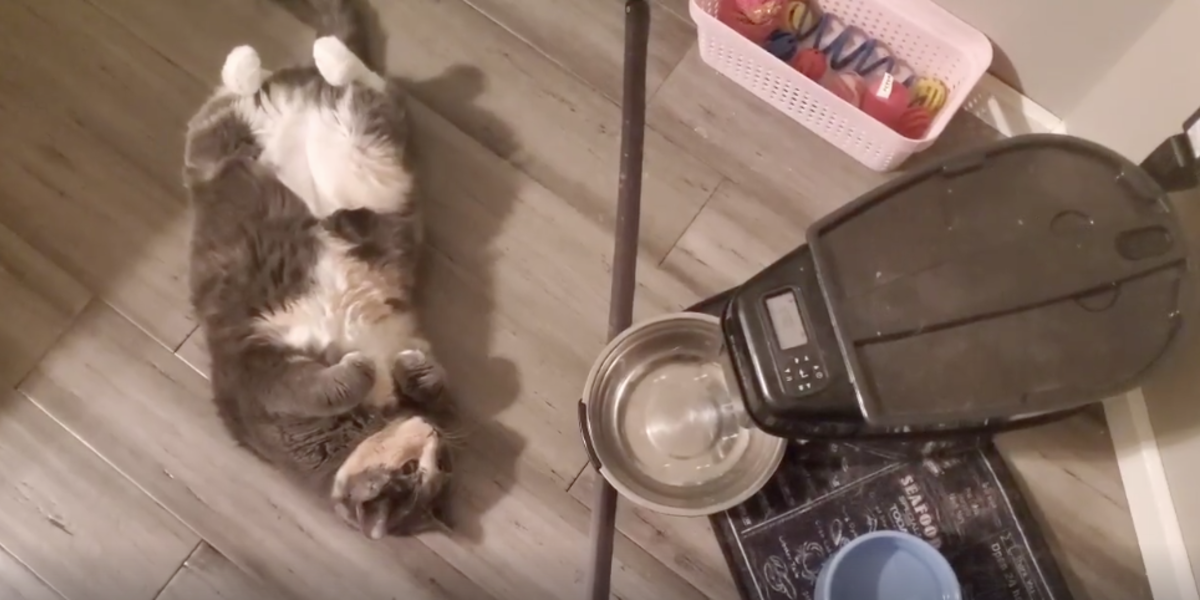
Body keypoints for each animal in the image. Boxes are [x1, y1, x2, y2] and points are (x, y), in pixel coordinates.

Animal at [182, 0, 451, 542]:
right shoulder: (257, 370)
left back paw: (321, 58)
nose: (433, 432)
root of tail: (299, 90)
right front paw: (366, 370)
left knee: (365, 86)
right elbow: (317, 388)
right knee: (236, 98)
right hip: (217, 149)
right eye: (411, 471)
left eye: (440, 462)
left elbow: (437, 383)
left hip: (372, 145)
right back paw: (261, 60)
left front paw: (411, 370)